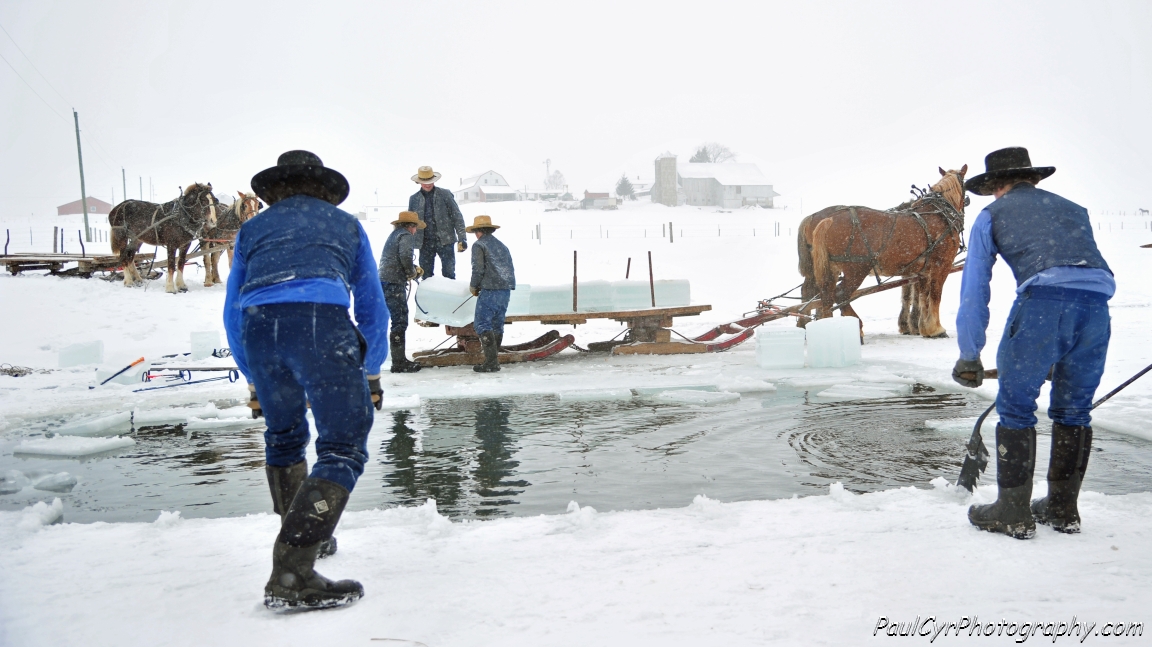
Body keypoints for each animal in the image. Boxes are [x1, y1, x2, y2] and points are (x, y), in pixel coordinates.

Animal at [806, 164, 967, 338]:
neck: (940, 214)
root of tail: (828, 220)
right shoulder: (941, 265)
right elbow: (935, 296)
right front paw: (937, 329)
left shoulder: (924, 271)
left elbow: (923, 297)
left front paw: (925, 328)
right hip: (857, 269)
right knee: (841, 295)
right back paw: (858, 326)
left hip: (832, 269)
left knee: (826, 298)